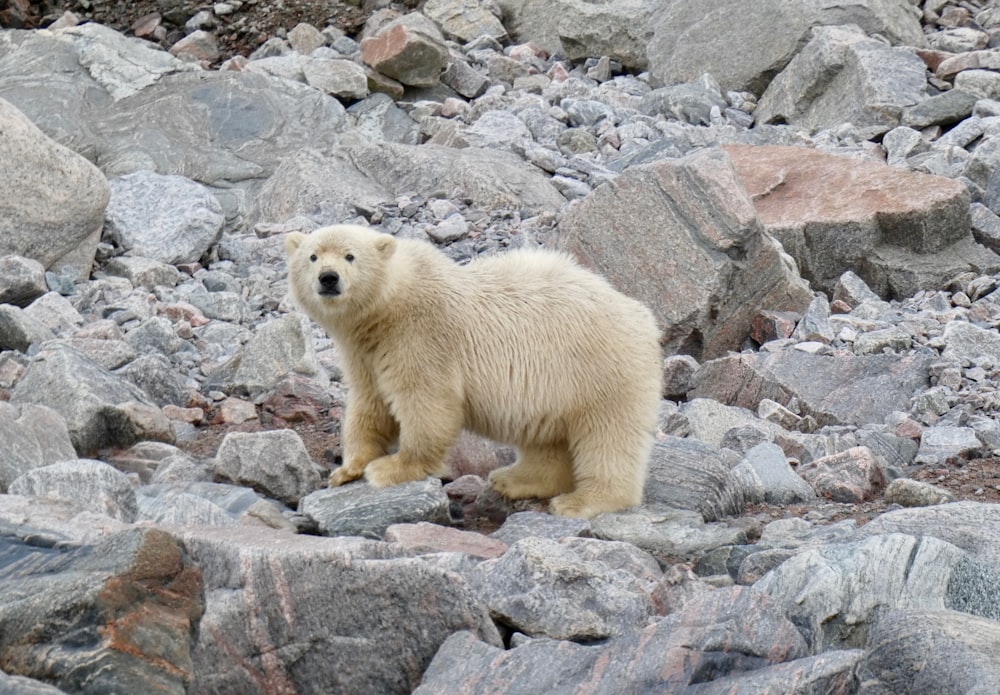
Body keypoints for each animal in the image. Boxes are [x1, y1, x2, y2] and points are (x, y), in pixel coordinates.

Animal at [284, 226, 664, 520]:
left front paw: (391, 468)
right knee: (546, 439)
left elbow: (427, 403)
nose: (328, 278)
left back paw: (582, 501)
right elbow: (369, 403)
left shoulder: (422, 335)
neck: (389, 307)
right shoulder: (365, 353)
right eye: (313, 257)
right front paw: (347, 469)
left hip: (599, 368)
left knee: (608, 436)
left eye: (350, 256)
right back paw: (514, 479)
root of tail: (643, 317)